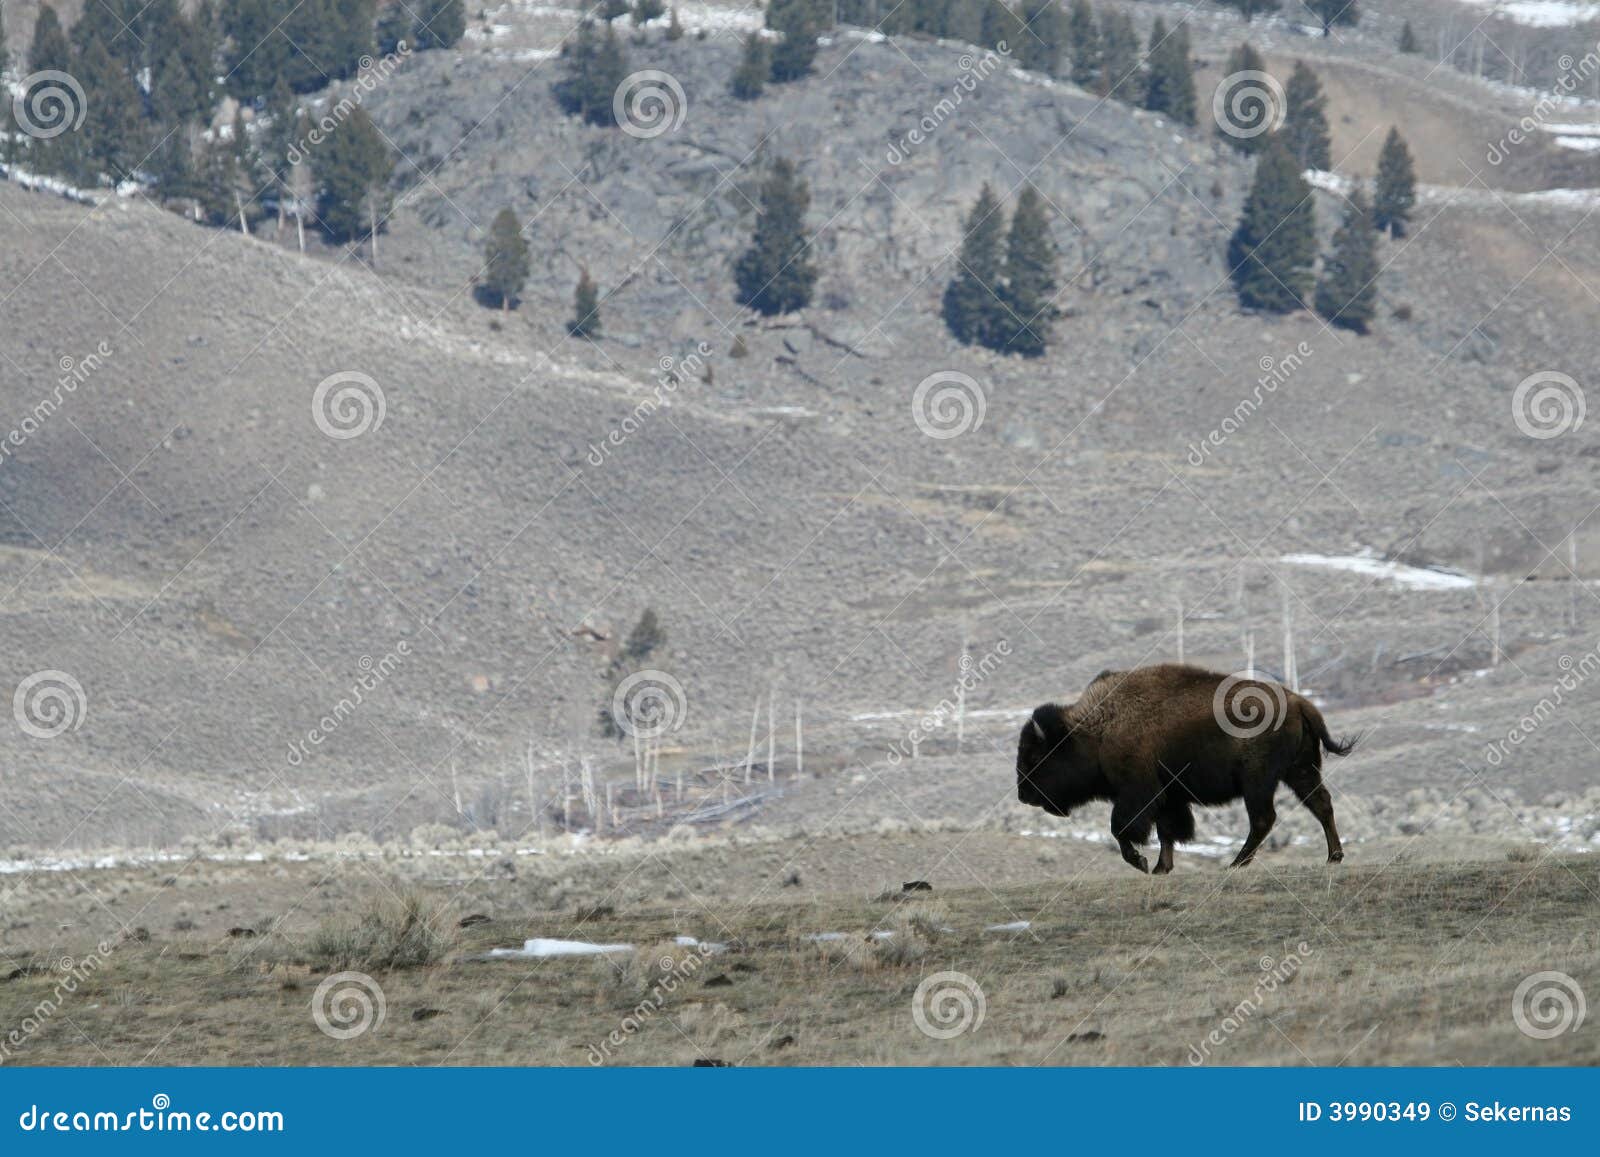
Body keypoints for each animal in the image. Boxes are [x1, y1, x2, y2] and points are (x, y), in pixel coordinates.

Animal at [1016, 664, 1356, 873]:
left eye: (1037, 757)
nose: (1023, 795)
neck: (1097, 729)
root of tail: (1299, 702)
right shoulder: (1170, 797)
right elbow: (1167, 831)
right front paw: (1160, 868)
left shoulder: (1138, 793)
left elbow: (1122, 828)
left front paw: (1142, 863)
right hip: (1299, 772)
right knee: (1320, 804)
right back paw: (1333, 857)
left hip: (1258, 780)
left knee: (1263, 819)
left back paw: (1236, 864)